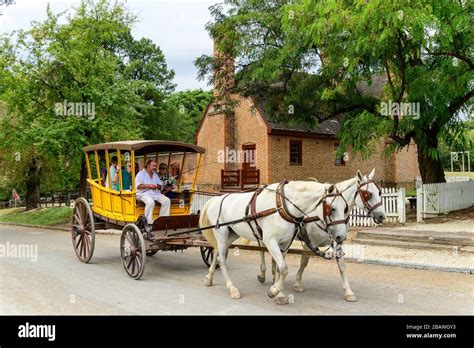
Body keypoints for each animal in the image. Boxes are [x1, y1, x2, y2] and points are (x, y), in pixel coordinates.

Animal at [198, 179, 358, 304]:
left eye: (345, 208)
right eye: (332, 208)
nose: (341, 237)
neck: (282, 206)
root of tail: (216, 199)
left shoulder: (285, 243)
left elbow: (281, 268)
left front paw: (278, 293)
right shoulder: (270, 241)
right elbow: (283, 268)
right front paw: (274, 291)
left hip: (231, 234)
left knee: (217, 253)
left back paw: (209, 278)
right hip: (222, 233)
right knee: (222, 260)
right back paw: (232, 289)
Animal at [262, 169, 386, 302]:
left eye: (379, 192)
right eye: (368, 194)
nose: (382, 216)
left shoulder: (338, 241)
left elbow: (342, 265)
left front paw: (348, 292)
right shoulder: (309, 242)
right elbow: (304, 262)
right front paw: (297, 284)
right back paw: (263, 274)